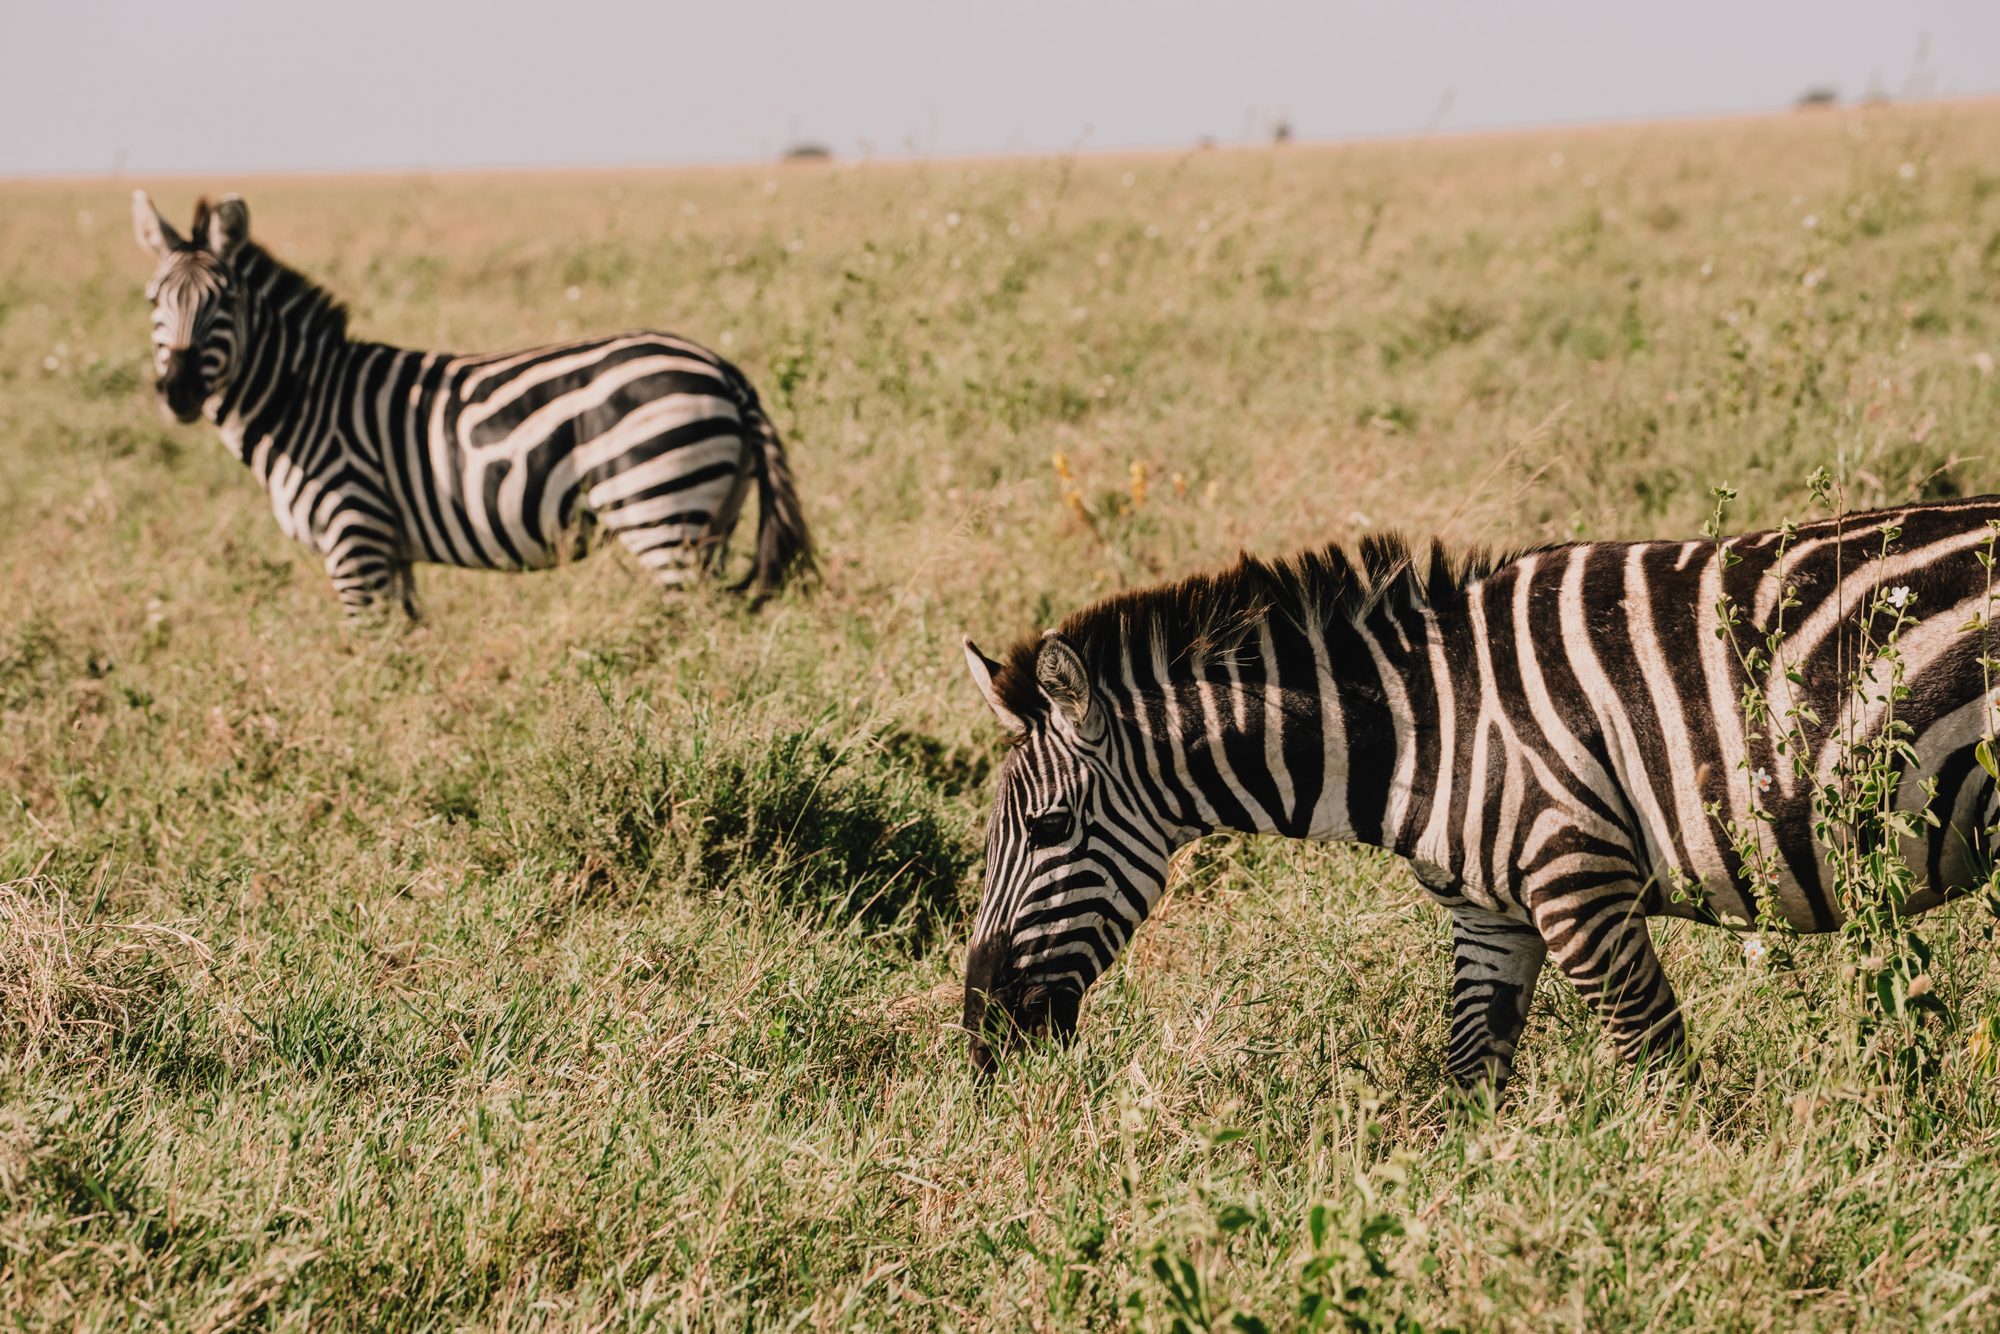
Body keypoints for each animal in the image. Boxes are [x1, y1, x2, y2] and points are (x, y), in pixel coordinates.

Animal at [132, 192, 811, 617]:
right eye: (153, 300)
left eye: (225, 302)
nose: (179, 392)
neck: (301, 402)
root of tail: (724, 370)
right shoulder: (389, 547)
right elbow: (407, 644)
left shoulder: (354, 533)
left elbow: (373, 655)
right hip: (712, 514)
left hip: (659, 511)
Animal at [959, 497, 2000, 1088]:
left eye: (1050, 827)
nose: (982, 1035)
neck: (1422, 725)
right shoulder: (1493, 914)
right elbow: (1467, 1079)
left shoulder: (1580, 885)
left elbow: (1661, 1070)